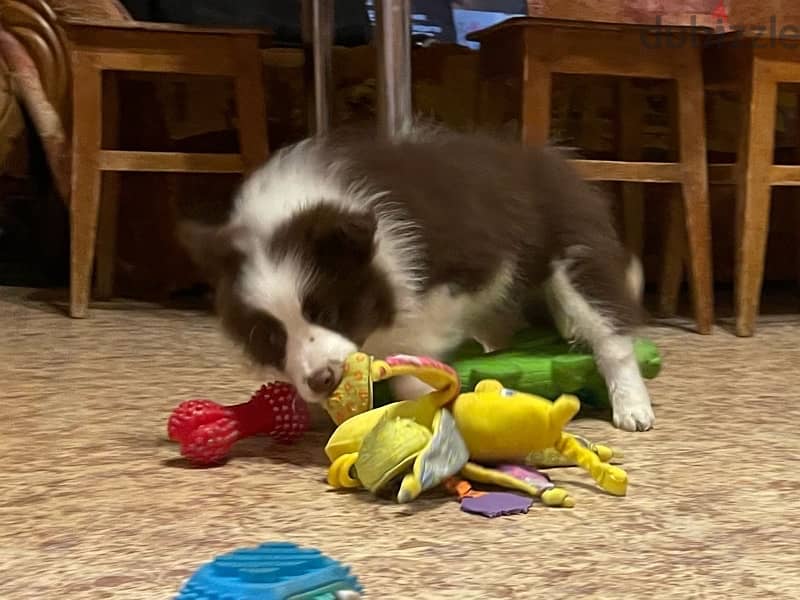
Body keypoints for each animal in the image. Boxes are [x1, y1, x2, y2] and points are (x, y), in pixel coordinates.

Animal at [183, 124, 656, 432]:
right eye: (271, 337)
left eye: (329, 313)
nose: (321, 381)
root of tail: (556, 160)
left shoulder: (452, 280)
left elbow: (413, 354)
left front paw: (419, 399)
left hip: (574, 256)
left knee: (610, 333)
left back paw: (632, 408)